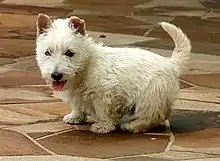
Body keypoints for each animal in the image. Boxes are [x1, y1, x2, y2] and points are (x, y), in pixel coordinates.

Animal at [35, 13, 191, 133]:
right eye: (48, 52)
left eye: (69, 53)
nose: (56, 75)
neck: (86, 67)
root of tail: (170, 62)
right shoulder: (76, 96)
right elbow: (77, 106)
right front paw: (75, 117)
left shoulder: (105, 95)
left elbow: (104, 112)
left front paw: (103, 126)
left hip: (150, 95)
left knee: (152, 116)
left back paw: (132, 126)